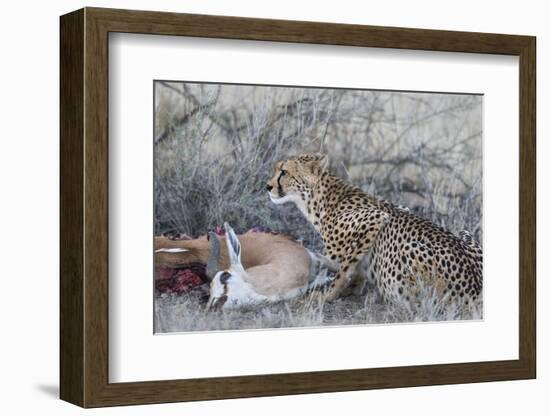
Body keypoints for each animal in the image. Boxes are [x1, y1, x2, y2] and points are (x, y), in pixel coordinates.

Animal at [266, 154, 484, 304]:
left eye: (284, 172)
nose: (267, 186)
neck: (317, 200)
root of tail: (474, 287)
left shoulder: (376, 218)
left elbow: (344, 270)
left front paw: (327, 295)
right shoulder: (399, 208)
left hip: (409, 250)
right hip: (464, 233)